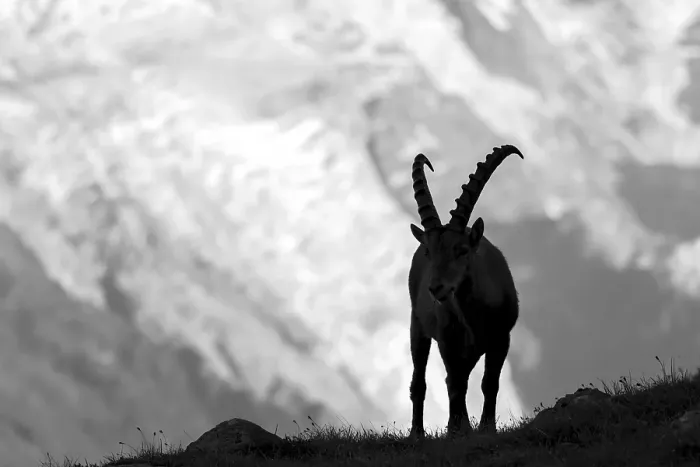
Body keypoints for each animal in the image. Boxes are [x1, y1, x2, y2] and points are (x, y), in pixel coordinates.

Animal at [407, 144, 523, 438]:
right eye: (430, 251)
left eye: (461, 250)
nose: (435, 288)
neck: (476, 315)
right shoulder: (448, 343)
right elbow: (455, 384)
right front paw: (457, 431)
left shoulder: (501, 339)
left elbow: (489, 383)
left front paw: (486, 428)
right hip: (418, 327)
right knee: (423, 381)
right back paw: (418, 433)